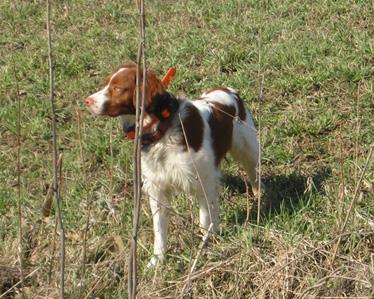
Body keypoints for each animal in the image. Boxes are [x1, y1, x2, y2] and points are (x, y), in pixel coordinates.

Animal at [86, 62, 262, 268]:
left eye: (118, 89)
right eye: (107, 83)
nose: (87, 101)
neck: (161, 131)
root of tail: (228, 90)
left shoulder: (204, 181)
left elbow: (206, 219)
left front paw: (205, 246)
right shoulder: (157, 189)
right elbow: (159, 229)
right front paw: (157, 260)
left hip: (247, 148)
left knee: (253, 171)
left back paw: (259, 192)